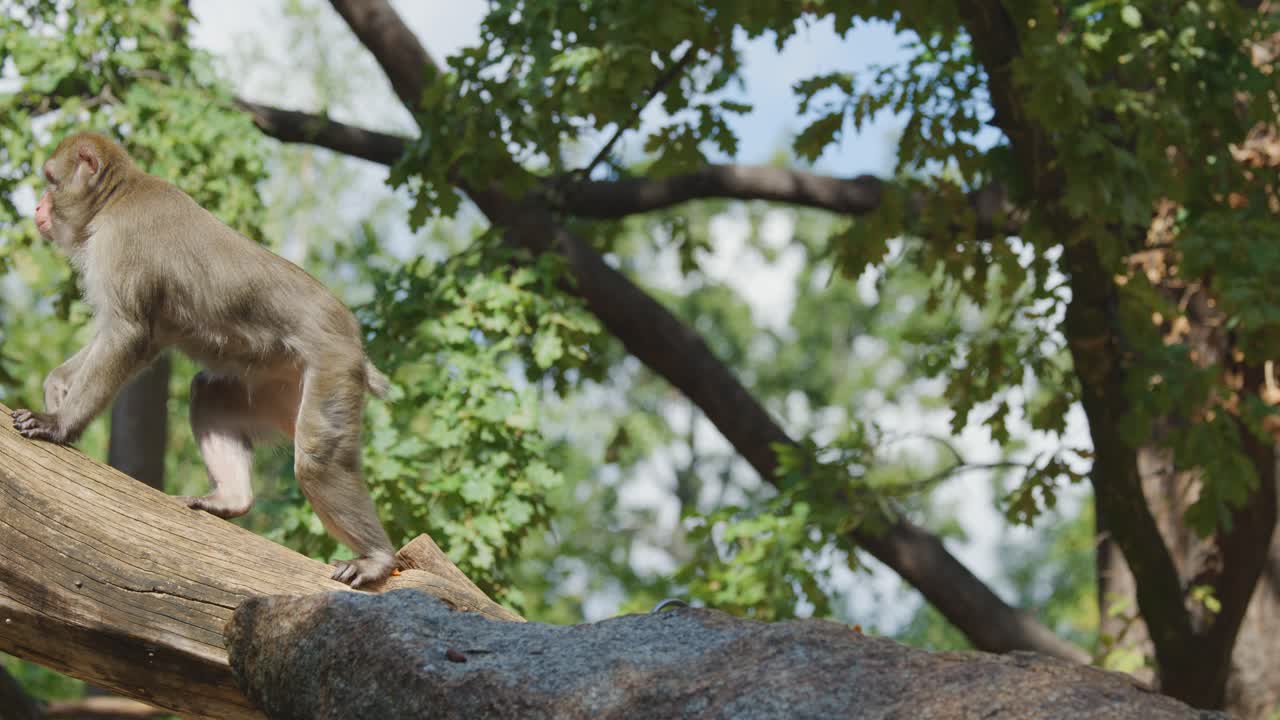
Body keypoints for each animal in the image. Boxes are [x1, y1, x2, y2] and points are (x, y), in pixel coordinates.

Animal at [12, 131, 398, 588]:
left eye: (50, 181)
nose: (38, 207)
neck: (116, 197)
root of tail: (354, 339)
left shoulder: (119, 244)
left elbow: (126, 334)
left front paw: (59, 423)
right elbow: (139, 339)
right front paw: (57, 386)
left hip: (332, 365)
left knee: (317, 460)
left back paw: (376, 556)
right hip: (281, 383)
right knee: (210, 392)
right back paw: (232, 498)